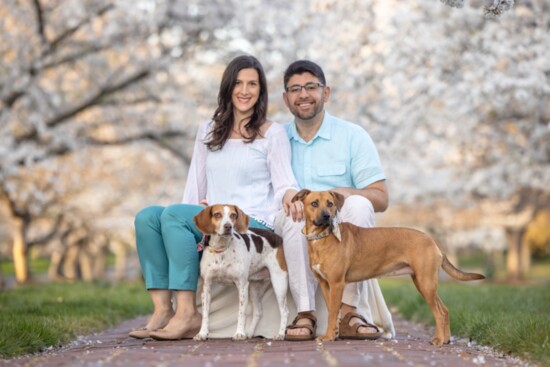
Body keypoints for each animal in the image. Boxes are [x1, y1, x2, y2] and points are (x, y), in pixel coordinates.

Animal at [193, 204, 288, 342]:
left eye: (233, 215)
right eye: (217, 214)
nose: (228, 226)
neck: (222, 249)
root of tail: (278, 237)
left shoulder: (242, 286)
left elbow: (241, 313)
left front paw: (239, 333)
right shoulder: (206, 286)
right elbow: (205, 314)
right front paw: (202, 333)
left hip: (279, 283)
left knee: (284, 311)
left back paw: (280, 334)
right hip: (254, 287)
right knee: (258, 311)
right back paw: (250, 333)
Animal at [294, 191, 488, 346]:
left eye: (330, 204)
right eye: (314, 204)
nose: (326, 216)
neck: (322, 237)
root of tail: (432, 240)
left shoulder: (336, 284)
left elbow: (333, 313)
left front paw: (328, 337)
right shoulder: (326, 285)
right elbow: (332, 313)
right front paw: (332, 334)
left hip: (426, 284)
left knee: (440, 312)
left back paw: (439, 340)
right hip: (423, 283)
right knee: (445, 310)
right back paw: (446, 339)